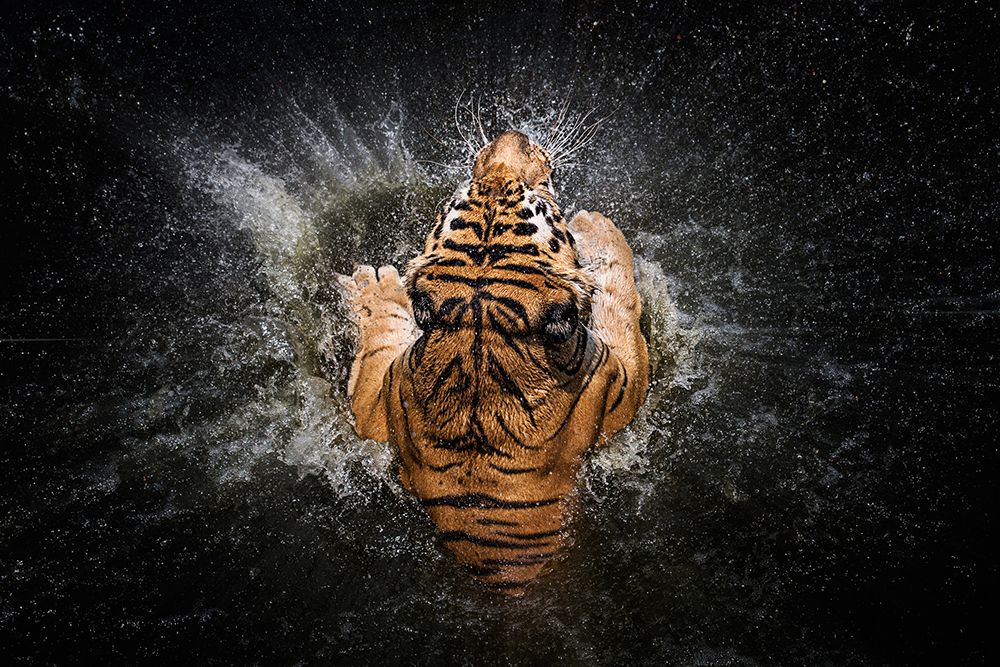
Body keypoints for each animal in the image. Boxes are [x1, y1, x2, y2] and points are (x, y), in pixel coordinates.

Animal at [338, 130, 649, 594]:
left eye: (468, 192)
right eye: (537, 200)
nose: (510, 136)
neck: (481, 327)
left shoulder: (376, 410)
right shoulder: (621, 387)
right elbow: (618, 297)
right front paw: (598, 227)